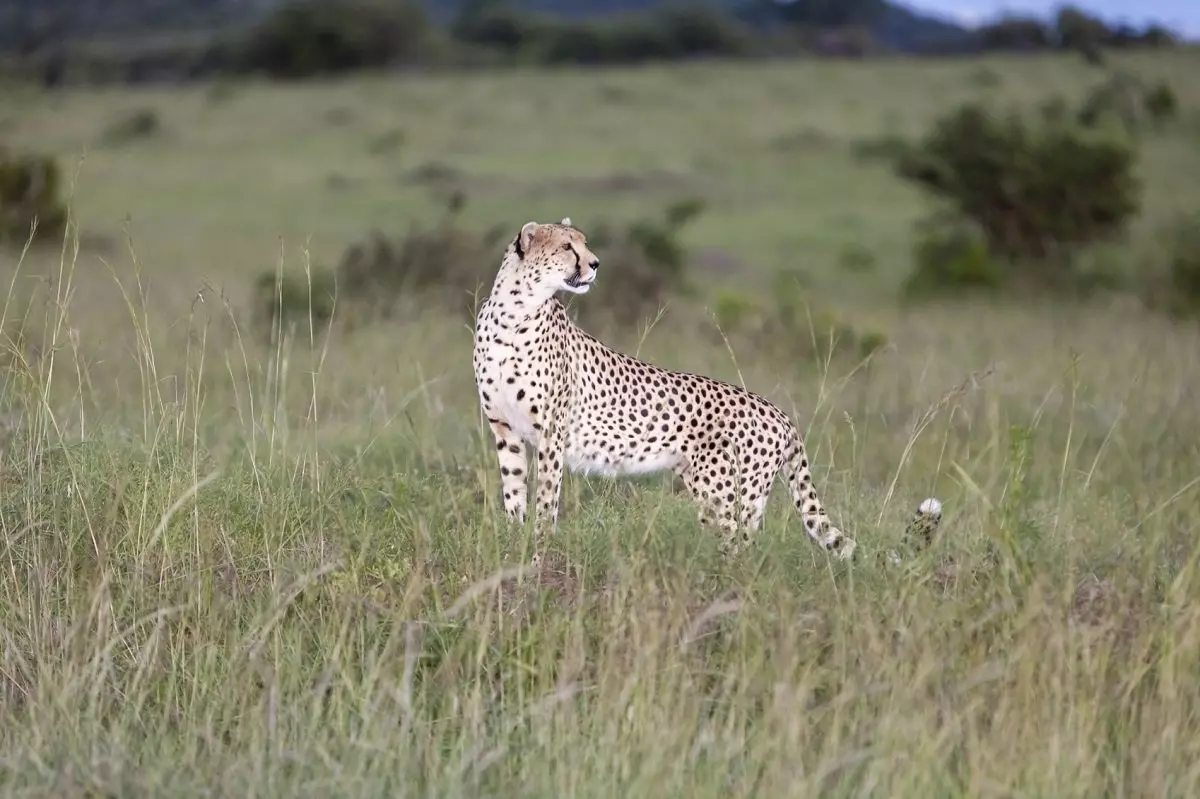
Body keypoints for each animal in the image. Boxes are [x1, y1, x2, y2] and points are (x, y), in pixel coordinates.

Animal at [472, 217, 943, 566]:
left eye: (585, 245)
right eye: (568, 247)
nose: (596, 264)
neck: (515, 310)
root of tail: (779, 412)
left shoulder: (551, 436)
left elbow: (546, 501)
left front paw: (540, 554)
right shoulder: (505, 430)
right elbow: (514, 495)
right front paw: (514, 548)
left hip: (724, 491)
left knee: (743, 546)